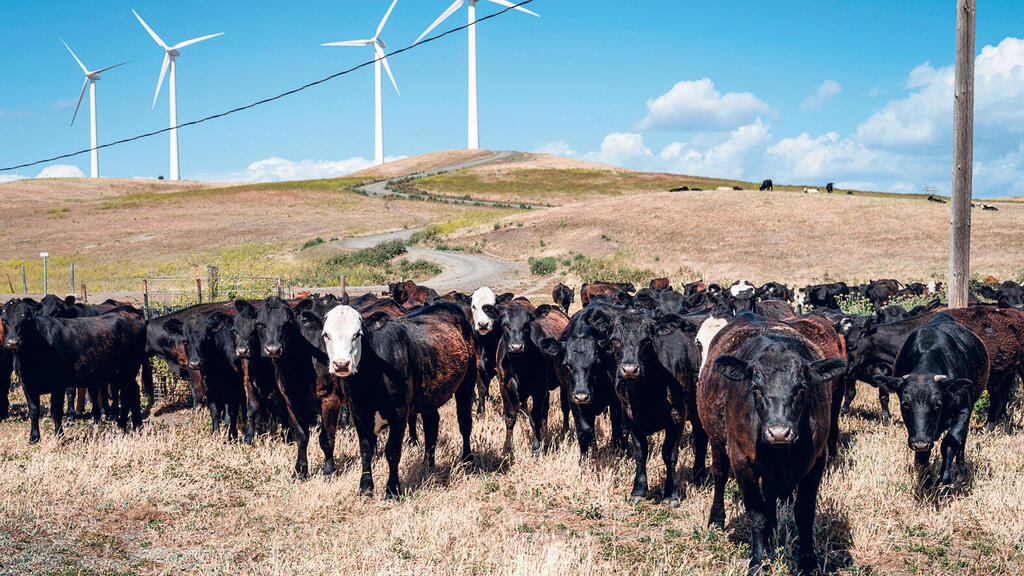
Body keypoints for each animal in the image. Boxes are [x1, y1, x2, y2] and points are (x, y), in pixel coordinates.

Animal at [1, 295, 149, 438]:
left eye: (26, 318)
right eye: (3, 320)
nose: (13, 342)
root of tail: (133, 314)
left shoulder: (58, 384)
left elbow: (56, 410)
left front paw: (59, 436)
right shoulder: (27, 384)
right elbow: (33, 410)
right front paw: (34, 437)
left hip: (129, 369)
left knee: (127, 394)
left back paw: (124, 425)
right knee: (132, 392)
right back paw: (136, 425)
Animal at [321, 303, 477, 496]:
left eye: (357, 334)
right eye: (326, 335)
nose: (341, 364)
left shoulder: (400, 411)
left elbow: (392, 451)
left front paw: (392, 491)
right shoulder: (357, 412)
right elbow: (366, 451)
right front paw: (365, 488)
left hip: (467, 383)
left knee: (465, 423)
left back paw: (468, 461)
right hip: (429, 394)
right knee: (432, 424)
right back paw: (428, 465)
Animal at [497, 303, 573, 455]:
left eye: (527, 324)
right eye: (504, 324)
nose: (516, 346)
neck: (519, 365)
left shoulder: (539, 388)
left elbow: (534, 417)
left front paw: (536, 447)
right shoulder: (504, 386)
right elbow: (510, 417)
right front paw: (507, 449)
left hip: (563, 384)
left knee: (565, 407)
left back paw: (565, 431)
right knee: (545, 412)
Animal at [876, 311, 987, 481]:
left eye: (937, 404)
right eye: (905, 404)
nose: (921, 443)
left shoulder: (963, 411)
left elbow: (949, 444)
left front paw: (945, 479)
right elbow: (922, 458)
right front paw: (926, 480)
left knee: (962, 440)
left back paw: (961, 466)